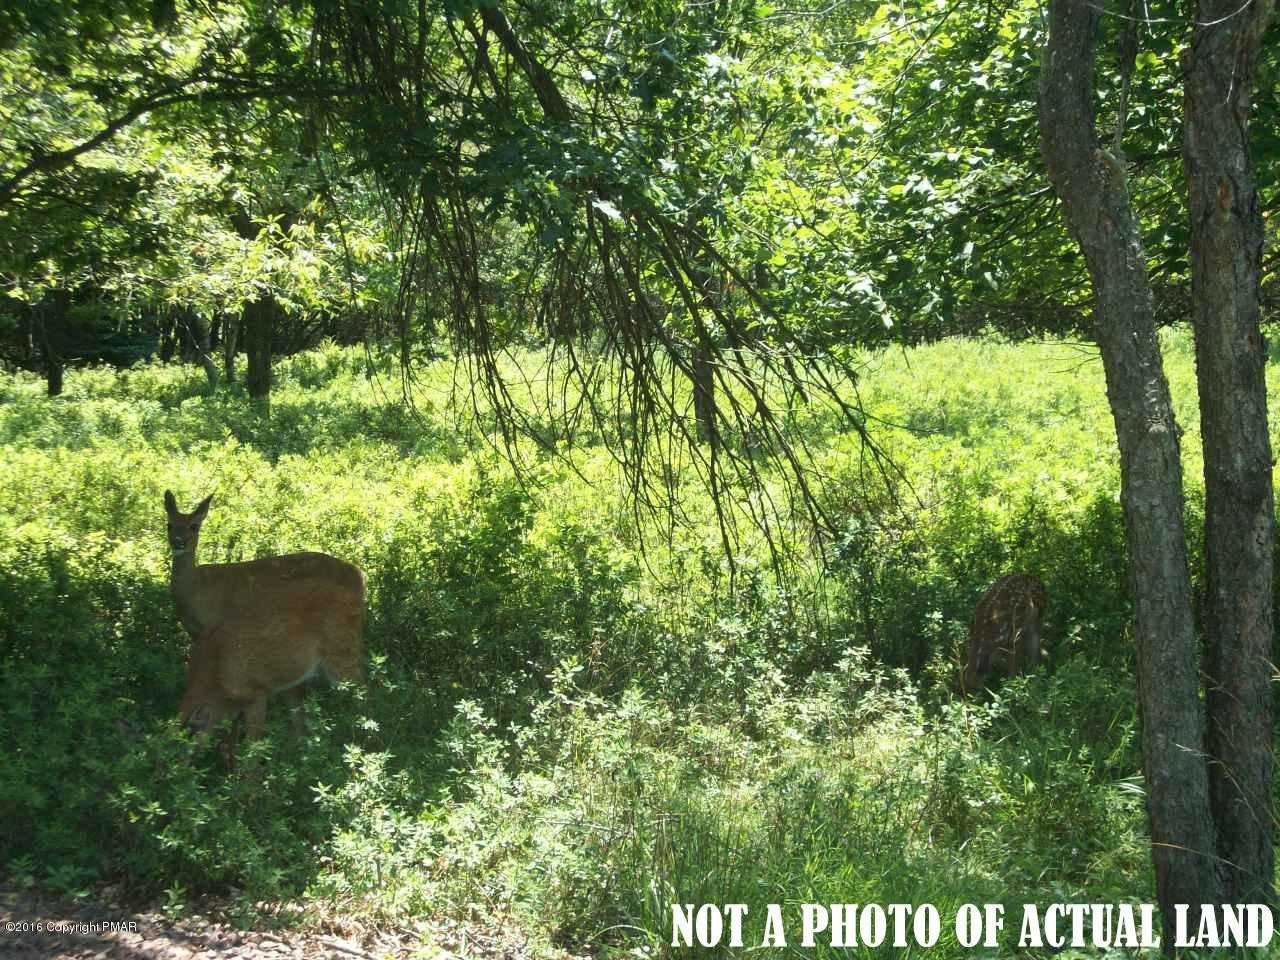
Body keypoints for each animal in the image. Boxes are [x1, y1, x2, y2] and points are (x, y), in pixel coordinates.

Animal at [957, 570, 1044, 701]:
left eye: (975, 688)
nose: (969, 701)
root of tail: (1039, 580)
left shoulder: (1013, 638)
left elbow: (1012, 667)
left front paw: (1011, 689)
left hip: (1038, 617)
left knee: (1035, 645)